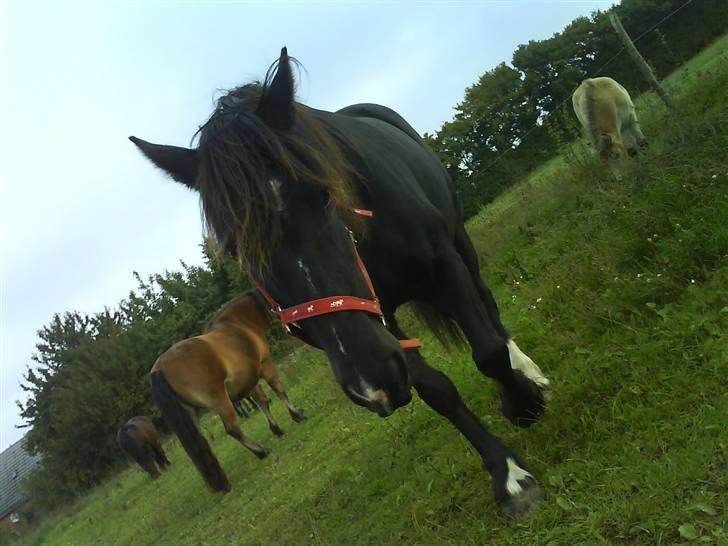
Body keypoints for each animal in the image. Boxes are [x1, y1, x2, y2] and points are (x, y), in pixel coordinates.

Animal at [149, 291, 306, 492]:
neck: (238, 325)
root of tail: (160, 367)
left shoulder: (248, 379)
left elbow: (262, 402)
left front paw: (276, 429)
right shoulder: (264, 365)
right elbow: (279, 390)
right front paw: (296, 414)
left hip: (191, 414)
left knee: (202, 443)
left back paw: (222, 482)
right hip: (220, 401)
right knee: (232, 429)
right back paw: (261, 451)